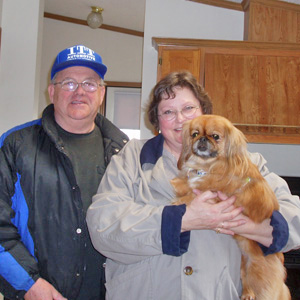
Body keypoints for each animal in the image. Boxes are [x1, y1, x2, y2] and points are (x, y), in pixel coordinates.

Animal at [171, 115, 290, 300]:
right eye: (195, 134)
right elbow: (186, 183)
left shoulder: (215, 196)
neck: (208, 165)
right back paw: (247, 294)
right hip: (244, 266)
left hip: (259, 276)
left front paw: (177, 201)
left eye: (215, 136)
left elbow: (192, 195)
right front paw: (177, 184)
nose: (202, 139)